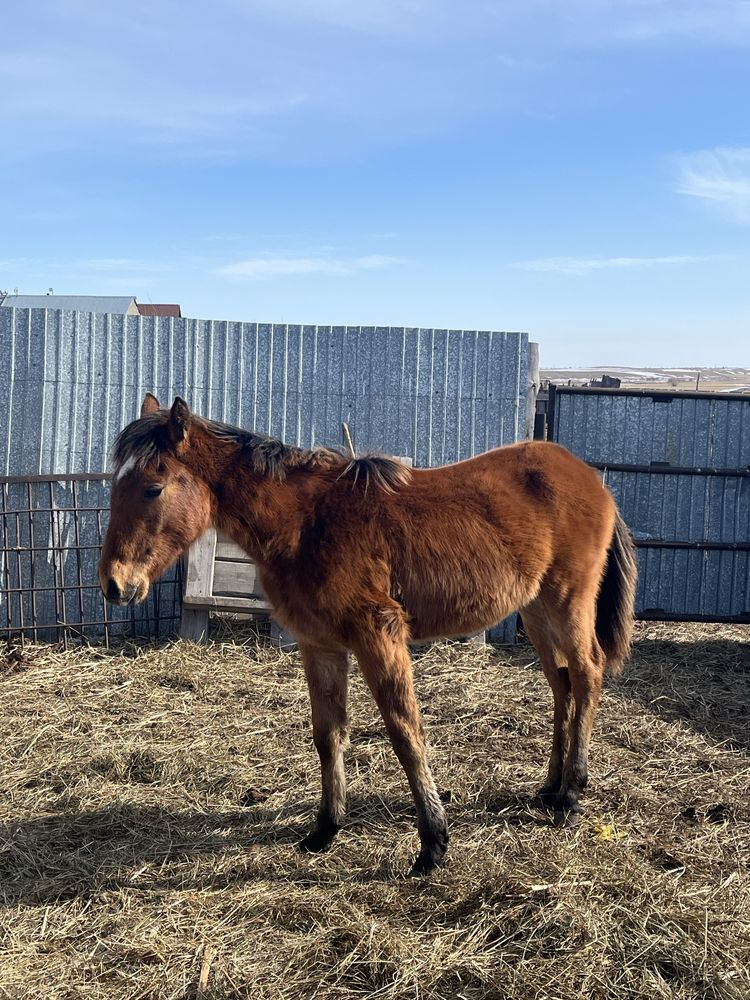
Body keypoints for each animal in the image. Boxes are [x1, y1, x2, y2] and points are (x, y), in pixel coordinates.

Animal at [100, 394, 636, 872]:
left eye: (153, 488)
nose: (114, 584)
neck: (306, 524)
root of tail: (590, 478)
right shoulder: (320, 646)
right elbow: (328, 733)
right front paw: (325, 830)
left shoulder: (379, 634)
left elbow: (405, 731)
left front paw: (433, 844)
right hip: (536, 613)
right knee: (562, 685)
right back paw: (551, 786)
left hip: (567, 603)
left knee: (587, 673)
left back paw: (571, 795)